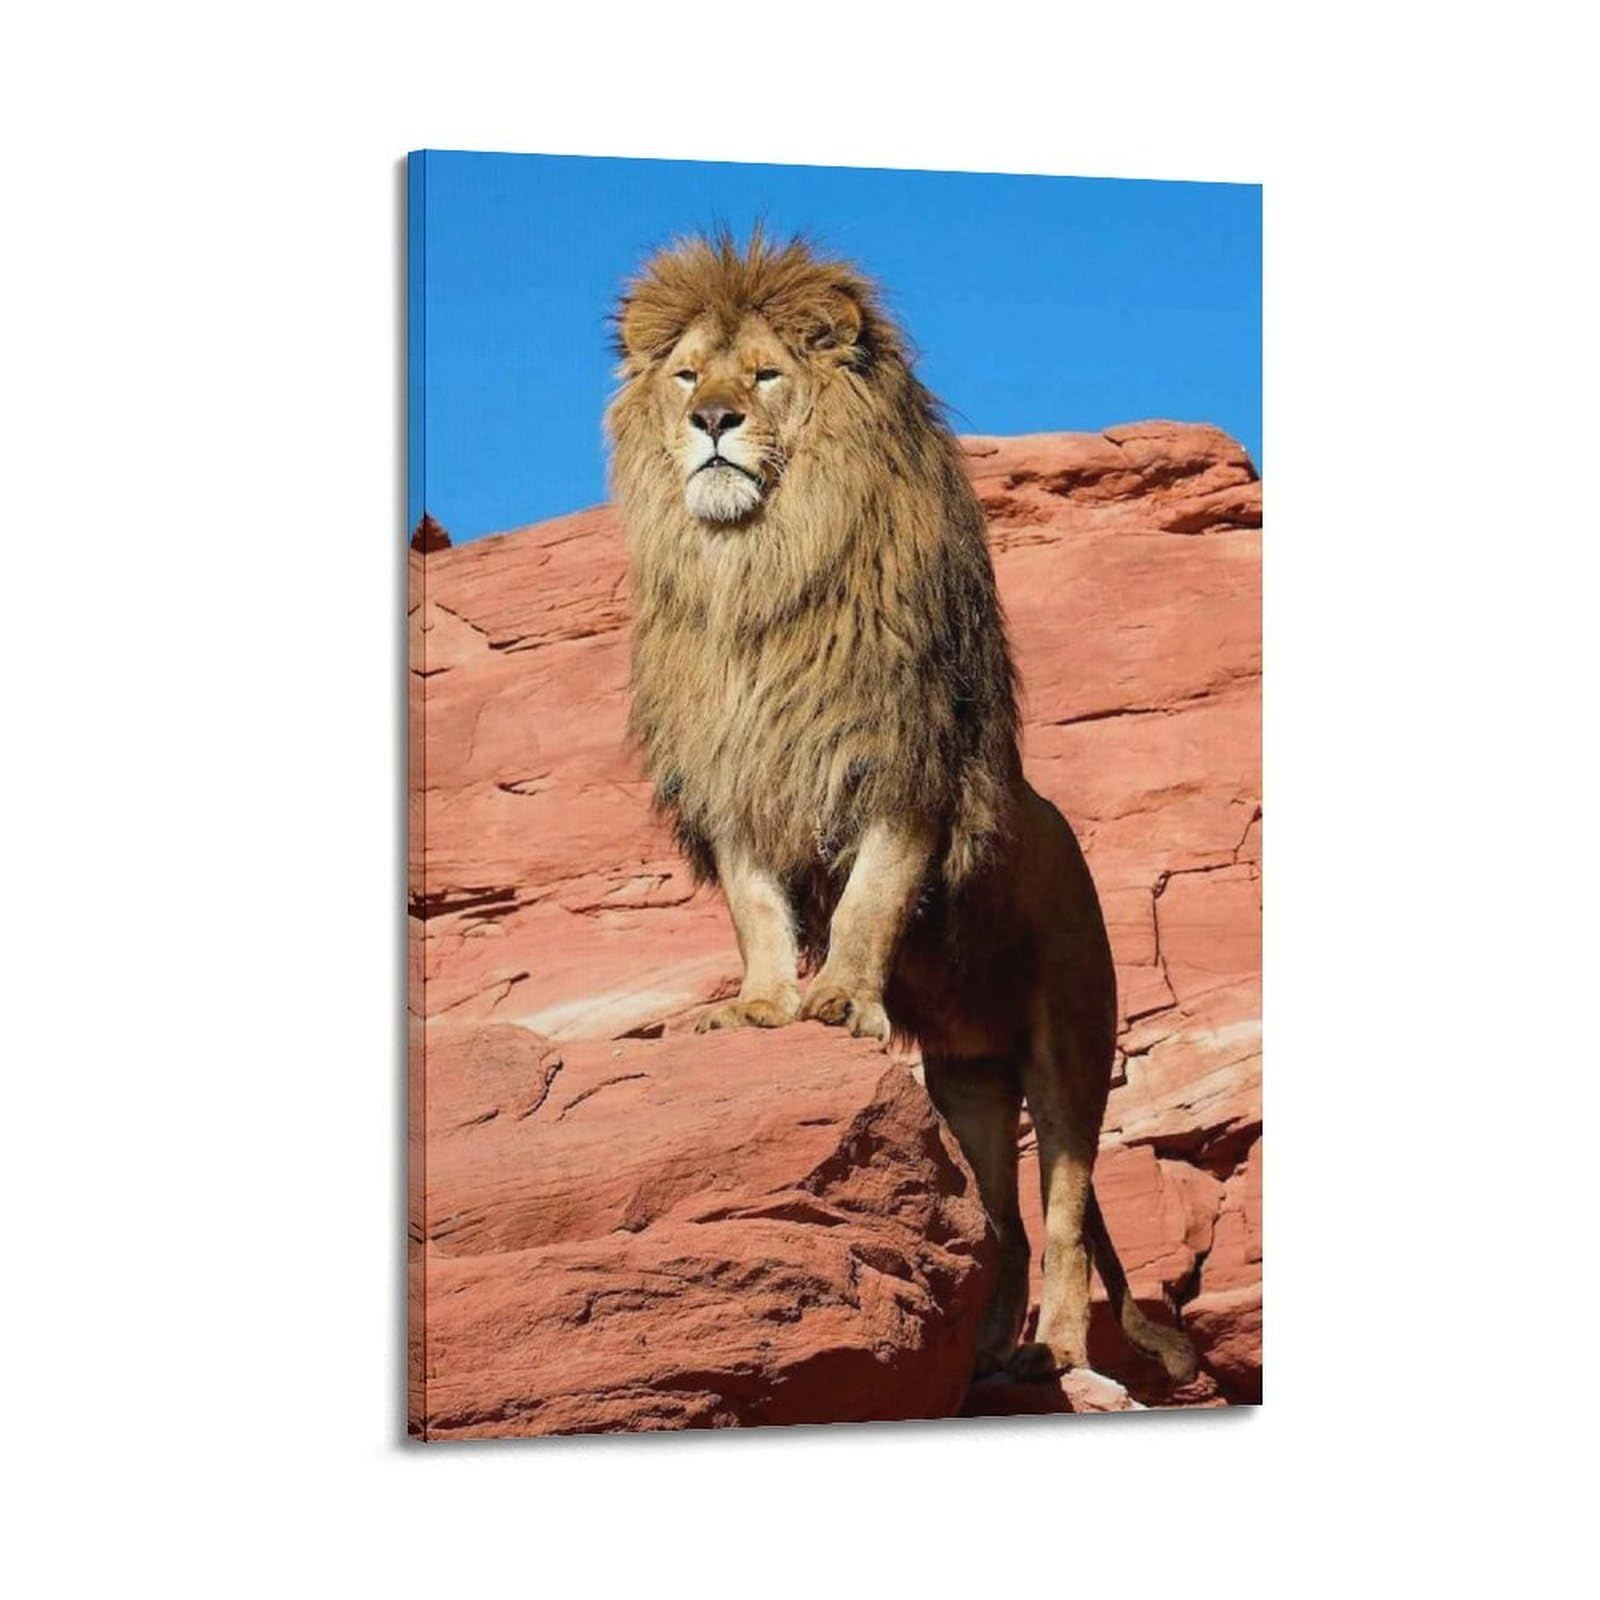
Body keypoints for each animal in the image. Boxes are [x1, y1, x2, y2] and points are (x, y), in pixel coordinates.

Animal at [605, 232, 1196, 1386]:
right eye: (687, 376)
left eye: (765, 375)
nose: (712, 424)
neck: (756, 572)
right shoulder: (739, 780)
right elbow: (758, 910)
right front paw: (760, 1004)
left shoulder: (903, 765)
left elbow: (869, 902)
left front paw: (838, 999)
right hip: (968, 1083)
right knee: (1003, 1228)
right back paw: (988, 1361)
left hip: (1069, 1049)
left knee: (1064, 1215)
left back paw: (1055, 1354)